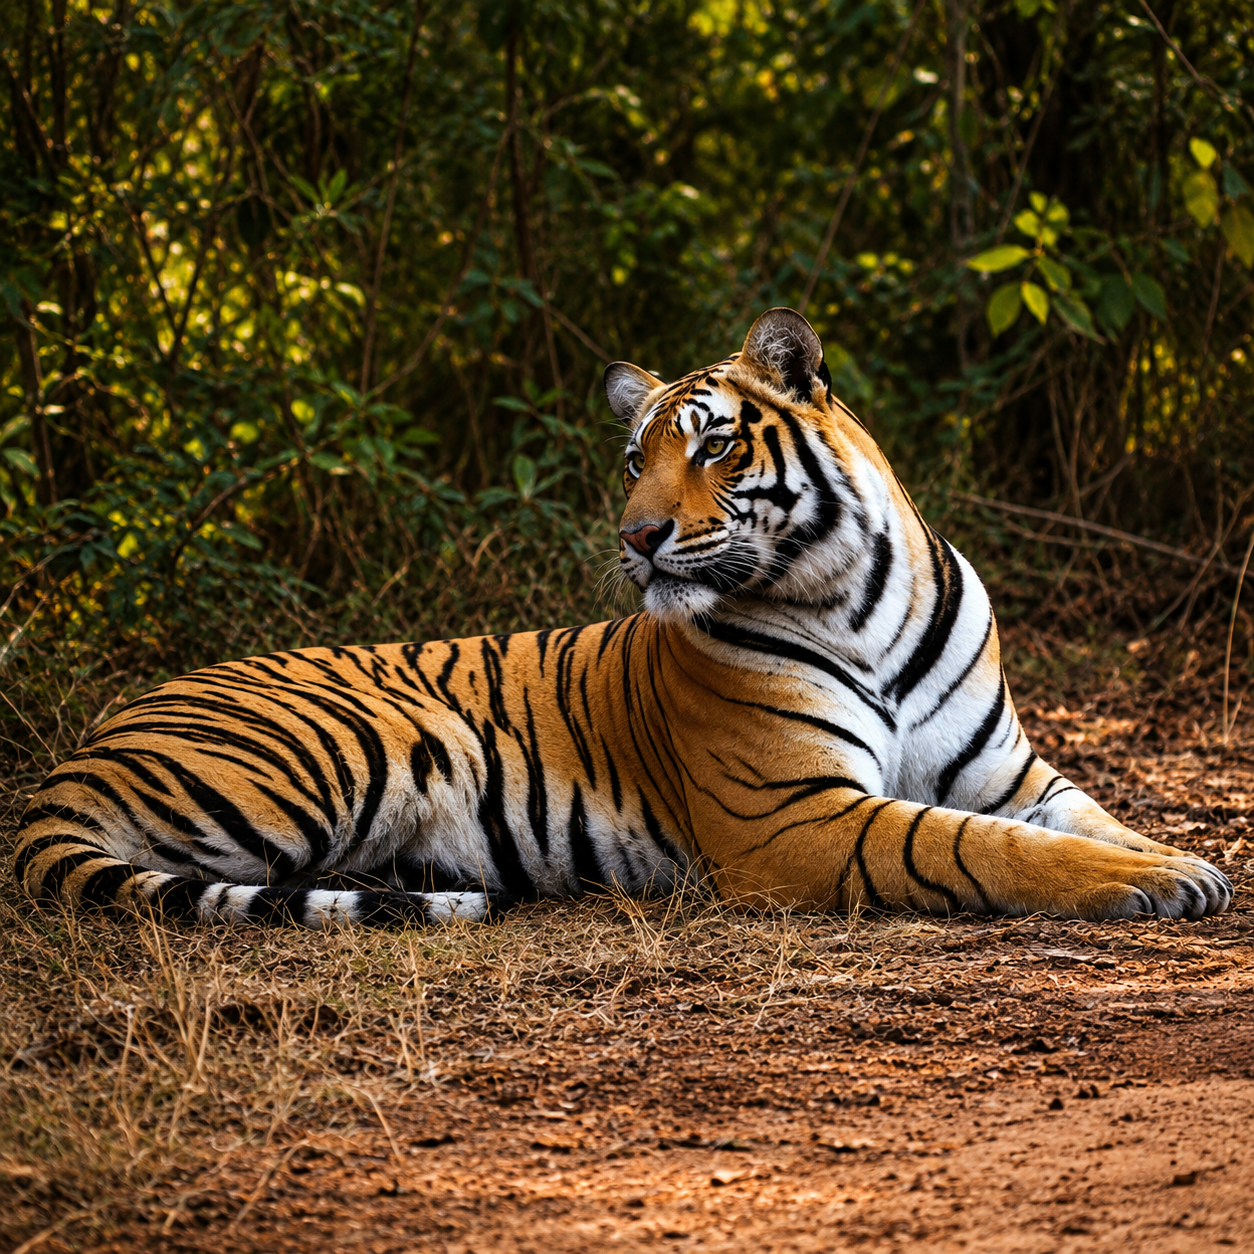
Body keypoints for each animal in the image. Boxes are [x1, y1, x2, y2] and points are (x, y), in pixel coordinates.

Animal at [13, 308, 1231, 929]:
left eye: (713, 444)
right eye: (634, 457)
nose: (636, 537)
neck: (857, 597)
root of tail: (87, 747)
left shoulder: (1009, 772)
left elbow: (1090, 818)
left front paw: (1185, 859)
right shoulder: (797, 816)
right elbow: (979, 849)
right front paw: (1146, 885)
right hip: (353, 747)